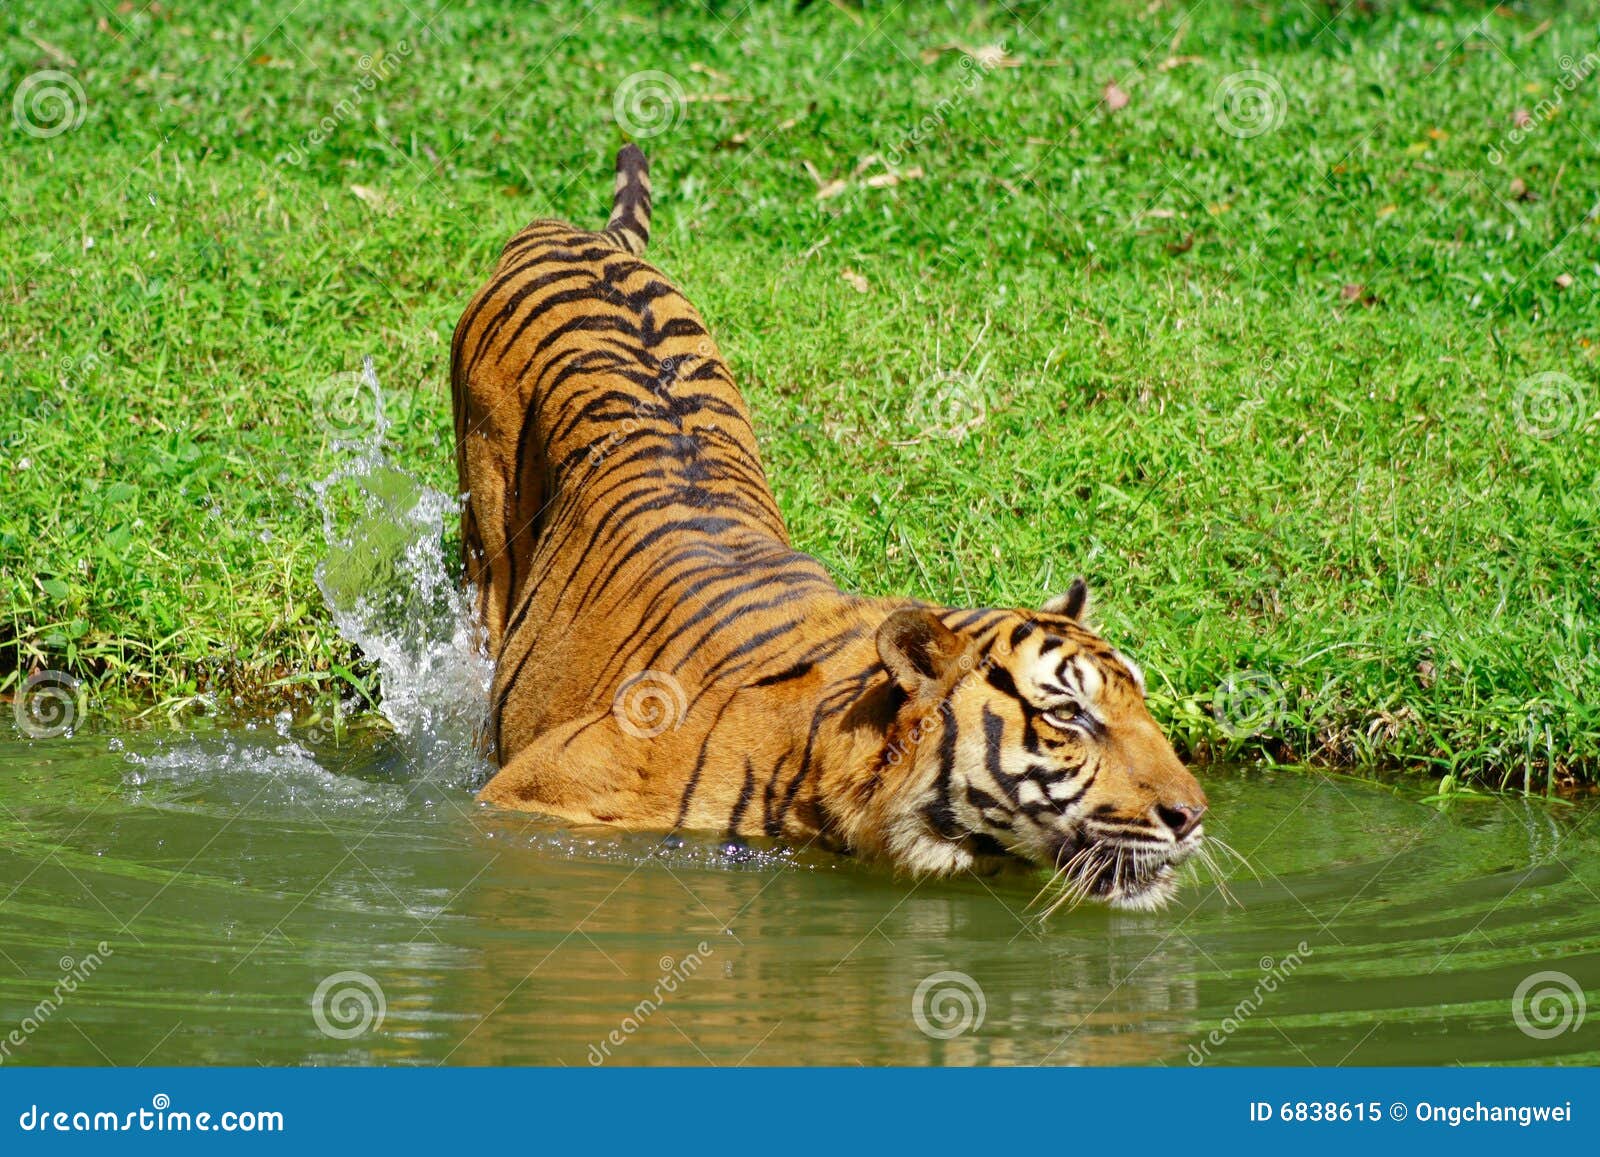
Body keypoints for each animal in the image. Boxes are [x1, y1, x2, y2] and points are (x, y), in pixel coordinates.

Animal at [450, 144, 1209, 911]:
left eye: (1141, 703)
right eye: (1070, 716)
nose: (1194, 815)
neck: (823, 754)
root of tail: (569, 233)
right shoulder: (530, 795)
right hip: (487, 531)